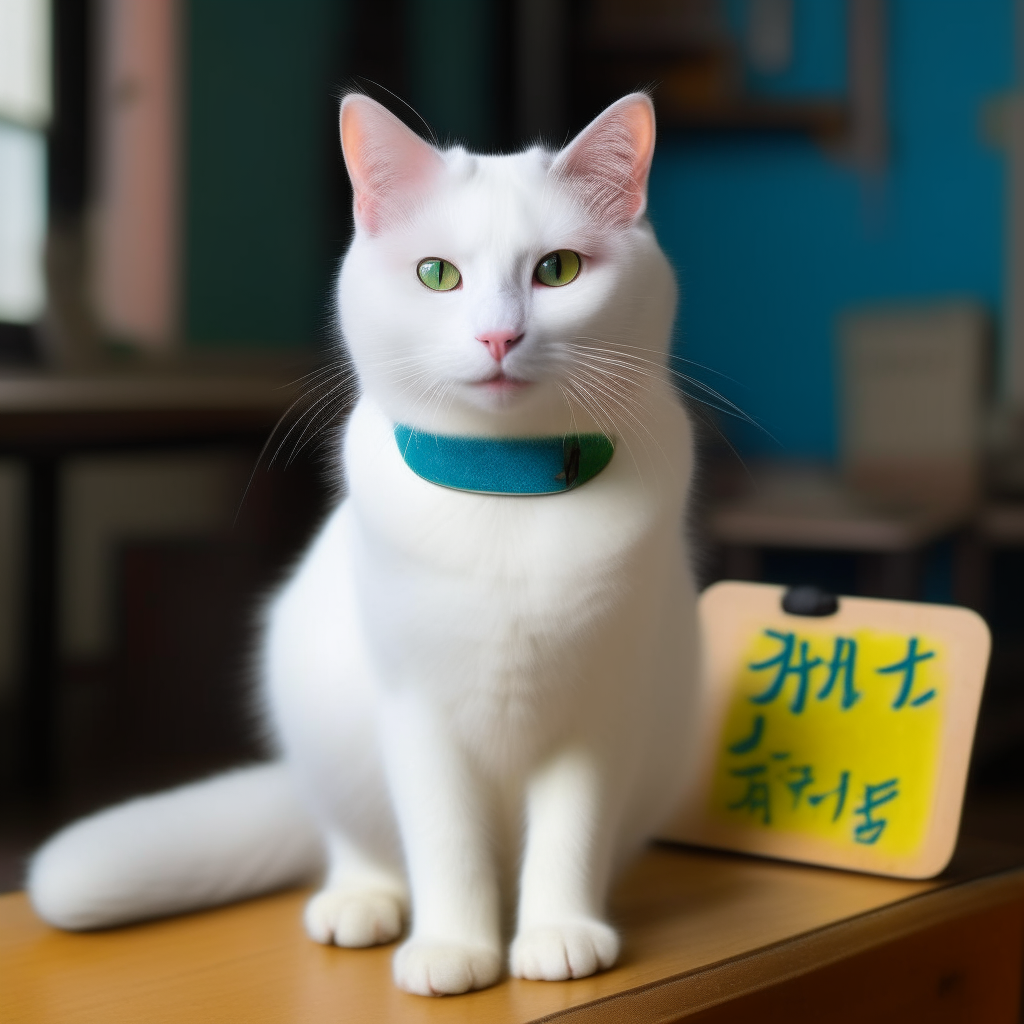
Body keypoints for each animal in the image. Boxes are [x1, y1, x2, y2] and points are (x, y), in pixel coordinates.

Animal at [32, 94, 704, 991]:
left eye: (558, 270)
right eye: (437, 275)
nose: (498, 337)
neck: (507, 483)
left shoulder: (597, 712)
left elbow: (570, 833)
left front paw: (557, 932)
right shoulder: (414, 709)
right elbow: (445, 843)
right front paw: (454, 948)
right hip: (323, 730)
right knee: (359, 841)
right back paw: (361, 902)